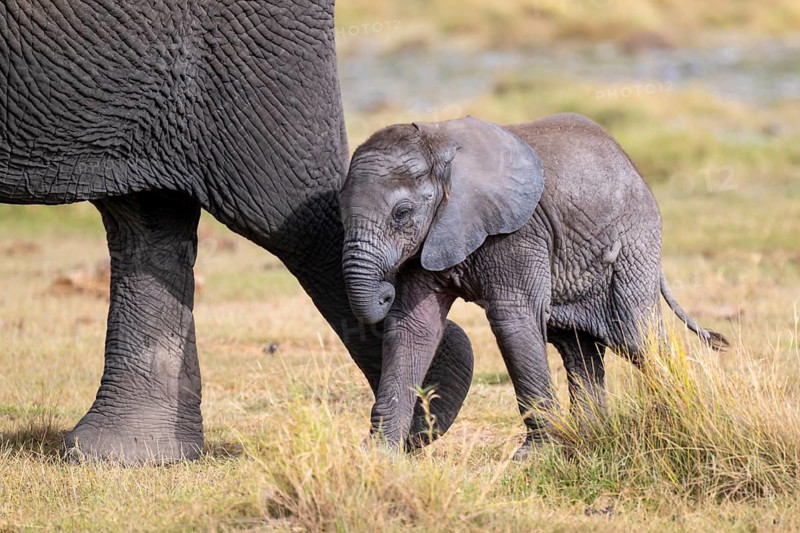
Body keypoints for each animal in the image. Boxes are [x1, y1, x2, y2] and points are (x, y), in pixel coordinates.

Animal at [339, 113, 728, 457]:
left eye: (402, 213)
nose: (384, 290)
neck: (438, 144)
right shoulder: (431, 238)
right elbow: (412, 328)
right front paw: (379, 456)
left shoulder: (519, 233)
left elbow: (514, 320)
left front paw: (535, 456)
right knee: (578, 348)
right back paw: (592, 438)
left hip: (636, 243)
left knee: (637, 338)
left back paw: (682, 419)